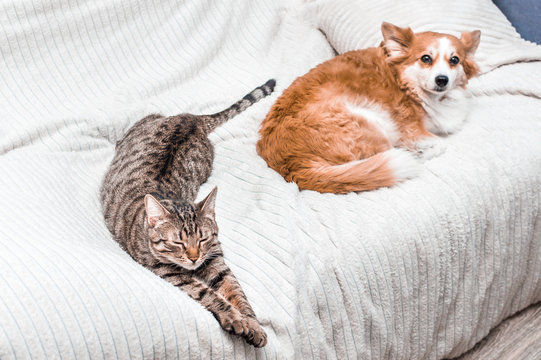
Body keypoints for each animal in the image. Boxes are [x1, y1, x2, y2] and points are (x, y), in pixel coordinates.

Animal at [99, 80, 274, 348]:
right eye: (177, 242)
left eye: (202, 239)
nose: (193, 258)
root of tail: (190, 118)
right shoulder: (167, 269)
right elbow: (207, 292)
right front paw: (235, 318)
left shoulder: (214, 257)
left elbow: (236, 291)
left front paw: (253, 324)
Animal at [258, 22, 480, 194]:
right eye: (426, 58)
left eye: (455, 60)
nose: (442, 80)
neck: (407, 83)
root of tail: (292, 166)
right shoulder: (412, 131)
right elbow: (440, 144)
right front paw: (421, 152)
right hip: (370, 123)